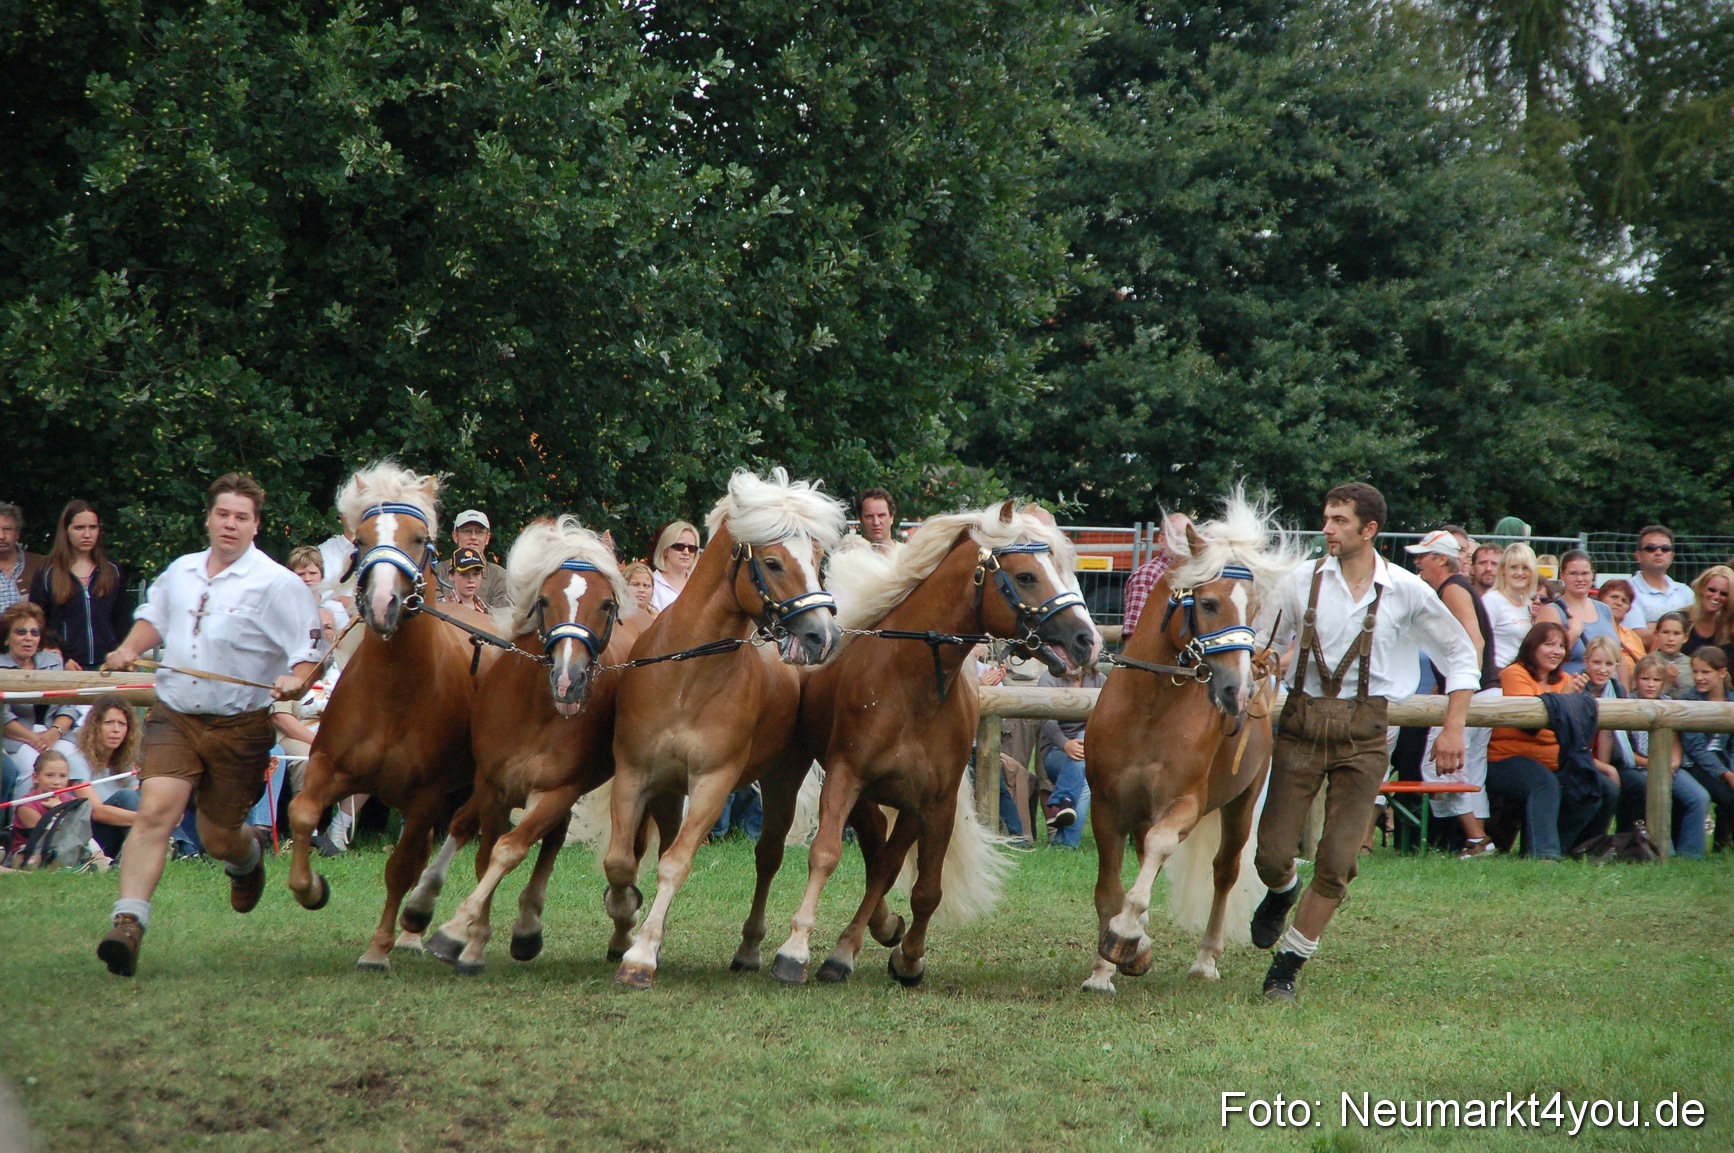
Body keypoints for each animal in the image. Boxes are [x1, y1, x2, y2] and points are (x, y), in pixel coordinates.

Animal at [284, 461, 501, 970]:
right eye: (361, 541)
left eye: (419, 539)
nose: (384, 604)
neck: (394, 694)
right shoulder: (328, 767)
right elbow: (301, 814)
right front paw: (313, 889)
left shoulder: (426, 796)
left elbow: (400, 868)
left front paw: (378, 949)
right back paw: (413, 931)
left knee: (475, 843)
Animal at [413, 516, 676, 974]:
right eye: (545, 600)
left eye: (606, 605)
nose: (568, 679)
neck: (536, 713)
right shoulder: (493, 787)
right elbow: (485, 854)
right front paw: (471, 942)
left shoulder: (557, 790)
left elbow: (508, 851)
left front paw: (458, 930)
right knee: (468, 823)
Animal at [604, 467, 846, 990]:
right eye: (773, 562)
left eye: (818, 560)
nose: (822, 636)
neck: (686, 676)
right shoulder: (635, 774)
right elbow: (621, 860)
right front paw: (626, 919)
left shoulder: (713, 783)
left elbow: (676, 863)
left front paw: (641, 956)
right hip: (669, 791)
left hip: (780, 781)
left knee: (767, 856)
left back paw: (751, 950)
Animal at [770, 501, 1103, 986]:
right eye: (1026, 576)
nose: (1086, 641)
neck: (912, 684)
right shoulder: (846, 778)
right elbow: (827, 853)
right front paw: (794, 951)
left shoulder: (935, 801)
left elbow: (926, 889)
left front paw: (907, 958)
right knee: (874, 850)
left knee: (885, 862)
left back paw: (863, 940)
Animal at [1080, 491, 1299, 994]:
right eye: (1210, 603)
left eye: (1253, 607)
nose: (1237, 691)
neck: (1149, 711)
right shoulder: (1107, 806)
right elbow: (1108, 888)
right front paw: (1108, 966)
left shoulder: (1183, 804)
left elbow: (1160, 848)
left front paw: (1125, 936)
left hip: (1241, 805)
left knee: (1224, 871)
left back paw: (1205, 960)